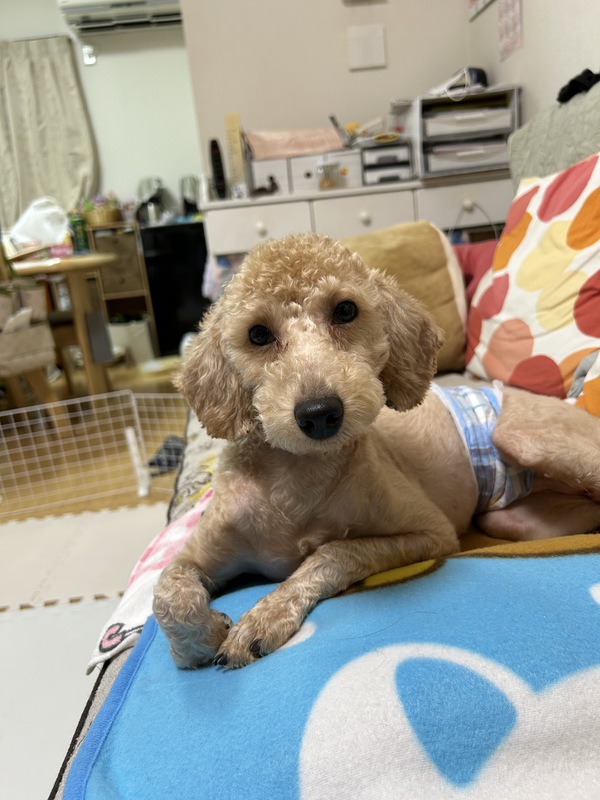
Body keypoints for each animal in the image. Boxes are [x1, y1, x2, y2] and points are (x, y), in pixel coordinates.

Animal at [153, 233, 600, 669]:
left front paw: (262, 617)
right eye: (258, 334)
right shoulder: (194, 556)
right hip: (515, 521)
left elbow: (334, 550)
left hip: (529, 441)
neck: (297, 476)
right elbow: (166, 595)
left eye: (345, 310)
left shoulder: (432, 533)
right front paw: (203, 636)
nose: (320, 413)